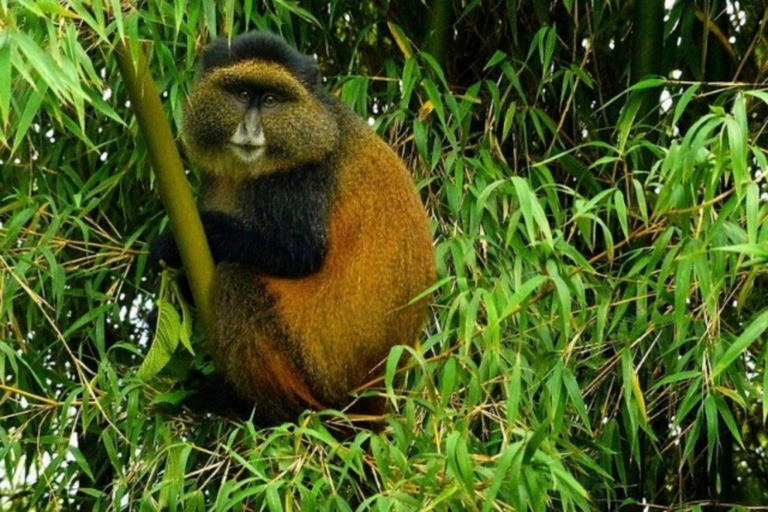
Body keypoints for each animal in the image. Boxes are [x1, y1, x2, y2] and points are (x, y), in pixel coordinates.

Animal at [152, 32, 435, 425]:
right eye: (243, 94)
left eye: (271, 100)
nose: (250, 128)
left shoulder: (303, 179)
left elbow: (299, 254)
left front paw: (174, 242)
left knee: (236, 281)